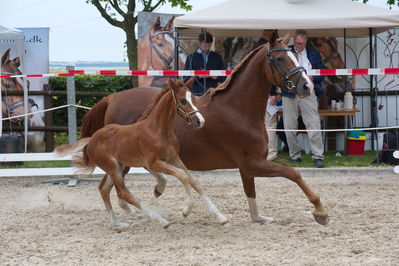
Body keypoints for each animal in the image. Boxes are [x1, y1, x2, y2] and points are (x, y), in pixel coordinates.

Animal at [55, 78, 228, 228]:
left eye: (193, 98)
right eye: (182, 101)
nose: (200, 121)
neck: (159, 130)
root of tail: (92, 139)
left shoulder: (174, 158)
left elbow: (194, 180)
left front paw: (221, 217)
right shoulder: (154, 163)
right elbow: (183, 176)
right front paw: (186, 209)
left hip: (119, 166)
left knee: (104, 189)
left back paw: (118, 224)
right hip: (113, 167)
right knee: (123, 193)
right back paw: (161, 221)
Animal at [80, 31, 328, 227]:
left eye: (295, 55)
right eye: (279, 58)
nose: (307, 86)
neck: (238, 109)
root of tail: (111, 98)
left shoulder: (248, 166)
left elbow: (251, 192)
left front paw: (258, 218)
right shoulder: (252, 162)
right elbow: (293, 173)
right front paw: (320, 211)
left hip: (123, 161)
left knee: (111, 186)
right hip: (125, 159)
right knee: (120, 184)